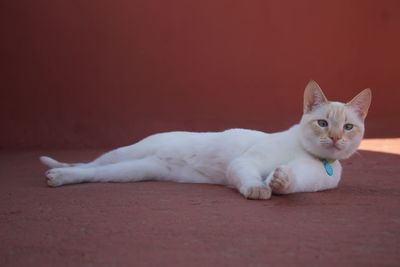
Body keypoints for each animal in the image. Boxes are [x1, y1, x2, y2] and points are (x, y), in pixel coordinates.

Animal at [40, 81, 372, 201]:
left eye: (348, 127)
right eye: (323, 123)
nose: (335, 138)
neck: (308, 155)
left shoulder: (307, 180)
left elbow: (287, 182)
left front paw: (278, 180)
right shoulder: (246, 162)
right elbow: (251, 179)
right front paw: (258, 189)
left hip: (132, 171)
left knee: (92, 172)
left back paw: (58, 176)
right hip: (124, 155)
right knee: (87, 163)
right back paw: (54, 171)